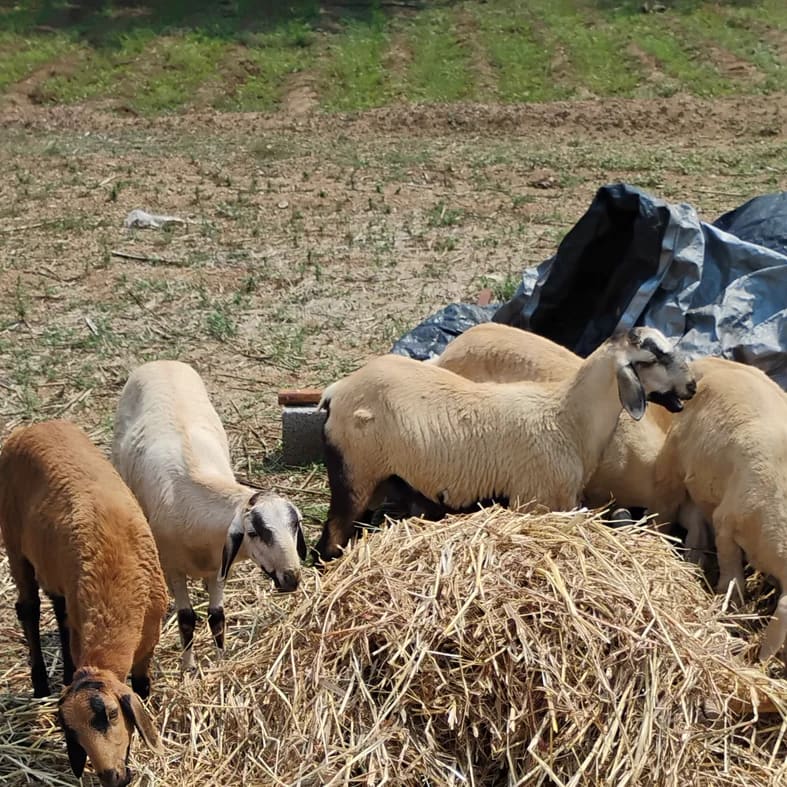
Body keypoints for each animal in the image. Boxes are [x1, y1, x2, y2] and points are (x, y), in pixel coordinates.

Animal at [0, 419, 167, 787]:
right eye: (73, 733)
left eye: (110, 714)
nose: (112, 777)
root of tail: (34, 427)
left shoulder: (151, 633)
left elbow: (142, 683)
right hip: (14, 542)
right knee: (28, 610)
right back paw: (40, 683)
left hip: (51, 569)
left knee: (57, 612)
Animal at [111, 360, 306, 672]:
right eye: (254, 532)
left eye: (295, 526)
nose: (292, 578)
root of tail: (162, 362)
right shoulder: (174, 567)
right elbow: (187, 618)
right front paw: (188, 666)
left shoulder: (219, 564)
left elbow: (217, 615)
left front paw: (220, 659)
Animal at [652, 356, 787, 661]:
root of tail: (705, 360)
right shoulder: (728, 519)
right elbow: (731, 575)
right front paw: (730, 612)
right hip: (671, 462)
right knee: (664, 510)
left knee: (696, 527)